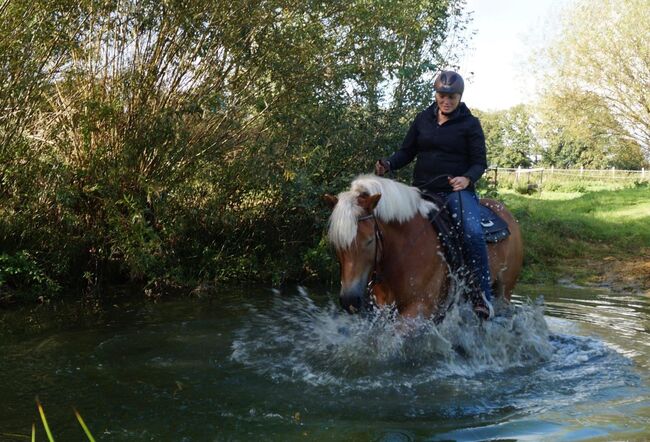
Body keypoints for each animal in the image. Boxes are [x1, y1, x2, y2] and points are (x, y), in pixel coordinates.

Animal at [324, 174, 520, 320]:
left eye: (370, 241)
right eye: (335, 243)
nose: (349, 300)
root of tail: (506, 212)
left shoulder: (419, 308)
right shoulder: (385, 309)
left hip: (504, 291)